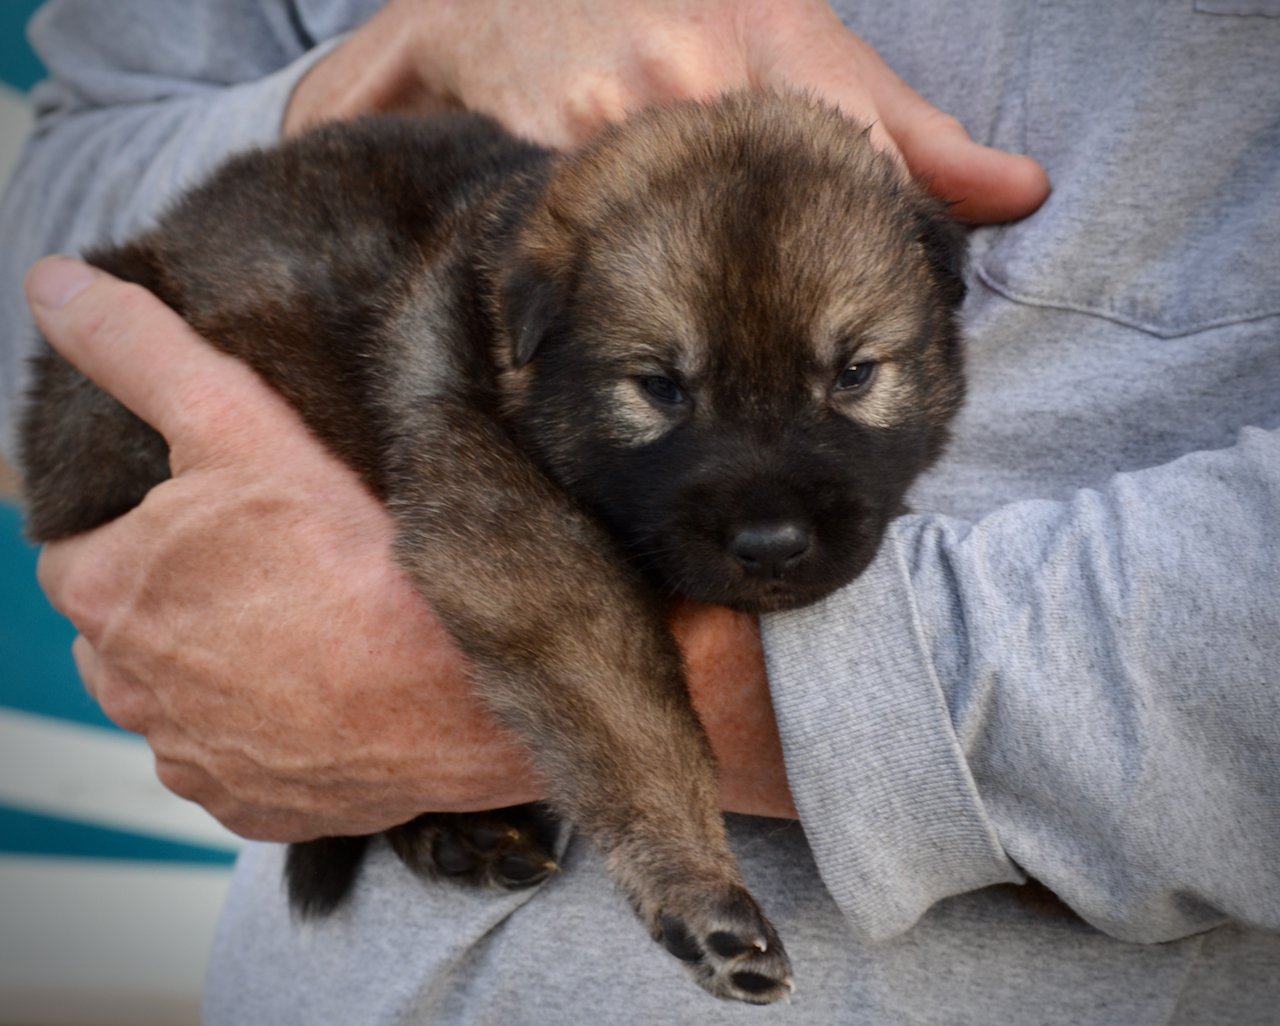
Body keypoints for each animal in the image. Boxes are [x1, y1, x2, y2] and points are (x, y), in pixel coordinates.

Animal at [20, 92, 962, 1002]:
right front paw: (695, 880)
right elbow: (634, 713)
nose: (771, 545)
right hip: (113, 427)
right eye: (659, 388)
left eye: (854, 374)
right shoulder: (518, 544)